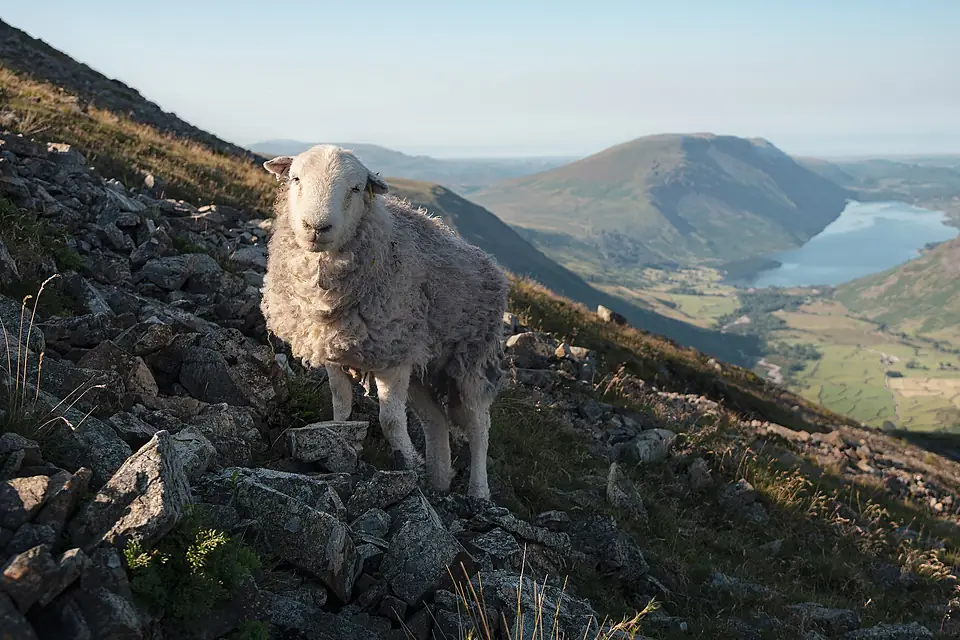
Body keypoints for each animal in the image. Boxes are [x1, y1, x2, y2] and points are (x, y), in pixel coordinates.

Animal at [260, 144, 509, 499]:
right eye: (295, 178)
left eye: (355, 188)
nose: (316, 227)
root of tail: (490, 263)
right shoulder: (335, 349)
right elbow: (340, 406)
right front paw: (340, 440)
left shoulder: (393, 358)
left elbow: (390, 420)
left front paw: (407, 463)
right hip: (422, 365)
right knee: (436, 420)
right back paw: (438, 479)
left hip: (470, 360)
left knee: (479, 426)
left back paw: (478, 491)